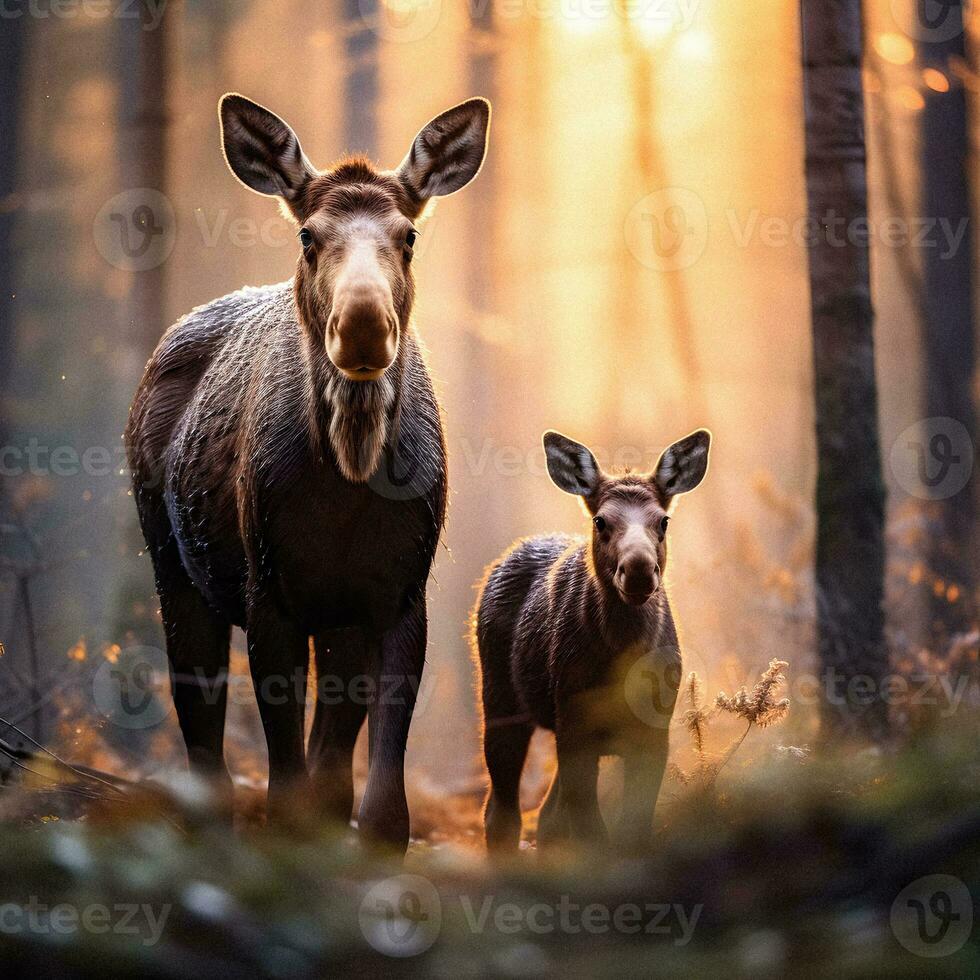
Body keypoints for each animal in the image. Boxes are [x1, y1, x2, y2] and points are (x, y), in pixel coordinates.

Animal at [127, 94, 494, 848]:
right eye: (307, 236)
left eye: (408, 235)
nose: (363, 326)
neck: (349, 483)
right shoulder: (272, 593)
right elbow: (285, 788)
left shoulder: (399, 596)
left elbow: (379, 809)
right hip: (172, 565)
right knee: (200, 730)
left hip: (335, 618)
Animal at [470, 428, 708, 848]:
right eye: (600, 521)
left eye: (663, 521)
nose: (639, 570)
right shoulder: (575, 722)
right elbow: (589, 830)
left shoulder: (654, 730)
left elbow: (632, 828)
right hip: (501, 697)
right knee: (502, 812)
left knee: (546, 817)